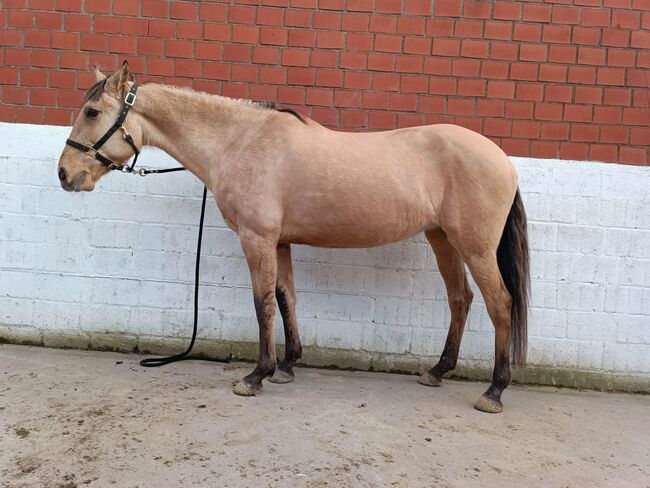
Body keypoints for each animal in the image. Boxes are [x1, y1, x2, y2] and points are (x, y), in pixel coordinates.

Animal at [57, 63, 528, 414]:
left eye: (92, 112)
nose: (65, 174)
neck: (241, 142)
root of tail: (502, 158)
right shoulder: (279, 242)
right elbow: (286, 299)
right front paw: (286, 366)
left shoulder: (257, 239)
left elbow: (263, 302)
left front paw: (256, 376)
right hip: (442, 238)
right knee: (460, 299)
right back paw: (437, 371)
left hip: (474, 247)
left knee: (499, 303)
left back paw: (494, 391)